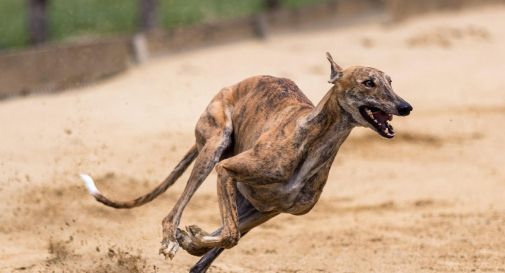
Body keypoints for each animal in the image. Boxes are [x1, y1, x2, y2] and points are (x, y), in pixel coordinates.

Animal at [80, 52, 412, 270]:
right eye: (368, 82)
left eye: (390, 81)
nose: (405, 106)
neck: (314, 140)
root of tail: (232, 86)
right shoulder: (226, 170)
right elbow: (229, 235)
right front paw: (187, 238)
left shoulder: (271, 209)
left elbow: (226, 236)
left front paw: (193, 240)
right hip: (214, 147)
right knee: (173, 213)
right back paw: (172, 237)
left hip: (244, 199)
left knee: (209, 246)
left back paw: (188, 243)